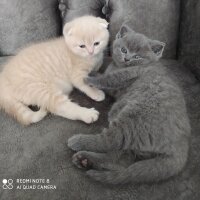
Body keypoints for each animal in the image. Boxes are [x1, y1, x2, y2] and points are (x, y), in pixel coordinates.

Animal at [67, 24, 191, 184]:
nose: (126, 59)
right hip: (139, 145)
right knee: (118, 160)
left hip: (134, 118)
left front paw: (90, 77)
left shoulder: (129, 73)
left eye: (137, 56)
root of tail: (181, 146)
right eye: (124, 50)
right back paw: (84, 160)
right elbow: (106, 77)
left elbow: (108, 78)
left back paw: (78, 142)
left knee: (110, 140)